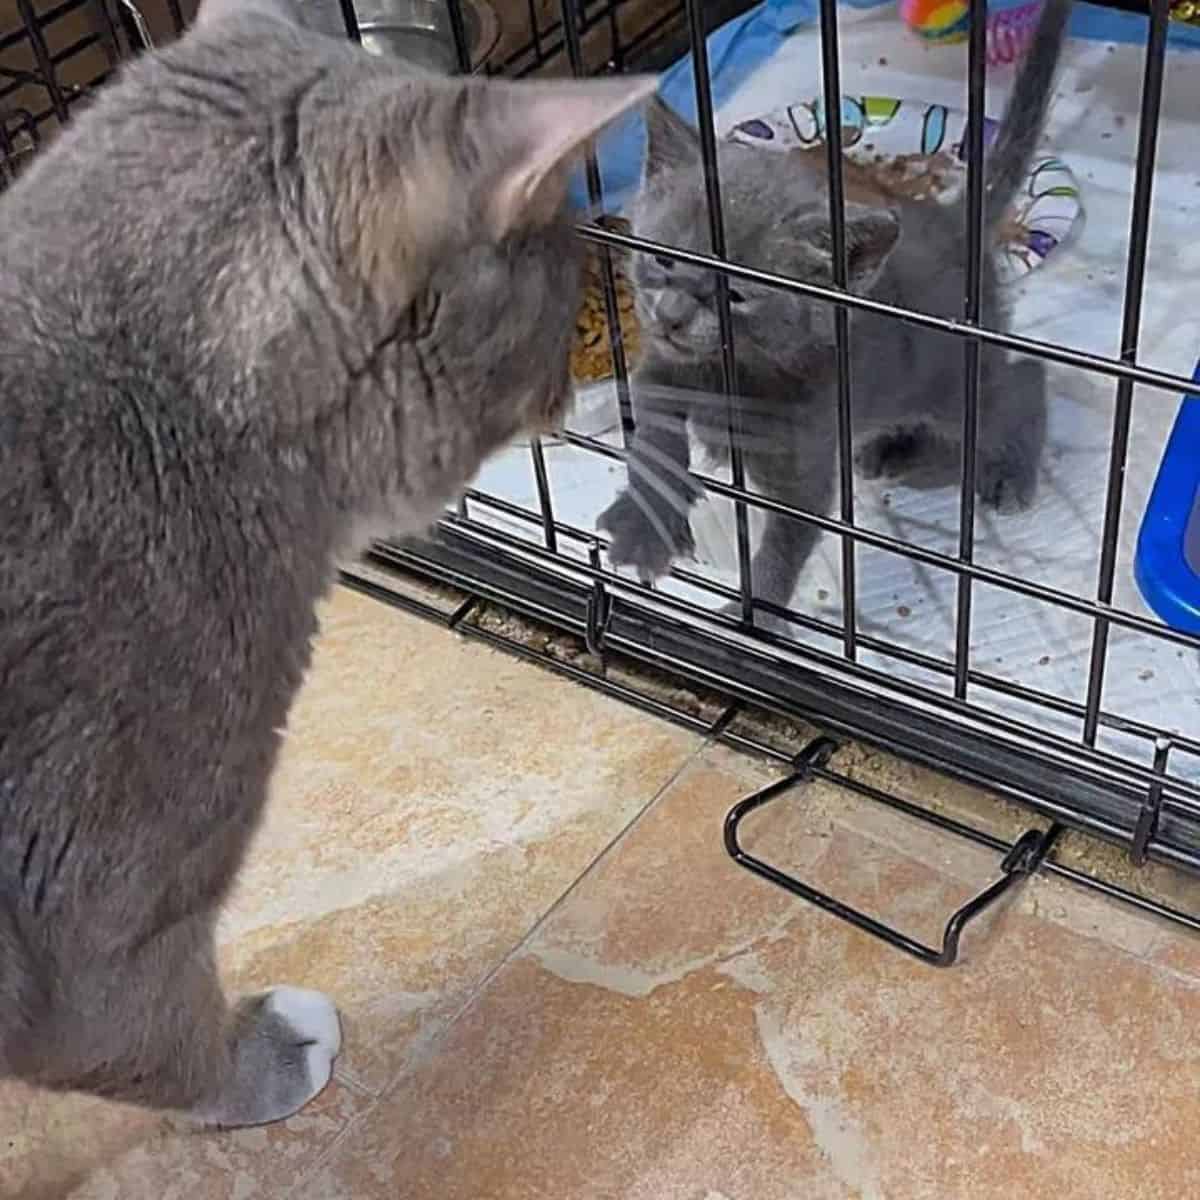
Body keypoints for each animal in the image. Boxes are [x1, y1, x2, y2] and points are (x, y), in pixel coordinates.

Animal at [600, 0, 1070, 619]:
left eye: (736, 294)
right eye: (664, 258)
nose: (672, 315)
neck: (732, 374)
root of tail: (953, 224)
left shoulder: (806, 460)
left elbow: (787, 541)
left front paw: (757, 618)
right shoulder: (661, 367)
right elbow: (654, 434)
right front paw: (645, 522)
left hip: (951, 381)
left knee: (1018, 382)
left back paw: (1005, 472)